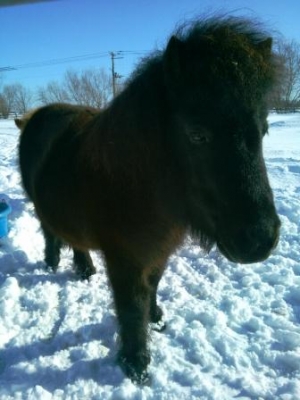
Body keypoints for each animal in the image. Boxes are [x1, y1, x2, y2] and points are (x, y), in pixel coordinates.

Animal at [17, 16, 278, 384]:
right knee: (51, 233)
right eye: (197, 134)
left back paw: (84, 269)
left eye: (264, 129)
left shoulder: (158, 250)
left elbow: (153, 284)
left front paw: (156, 317)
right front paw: (135, 362)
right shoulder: (124, 259)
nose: (260, 239)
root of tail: (39, 115)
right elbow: (130, 305)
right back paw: (54, 263)